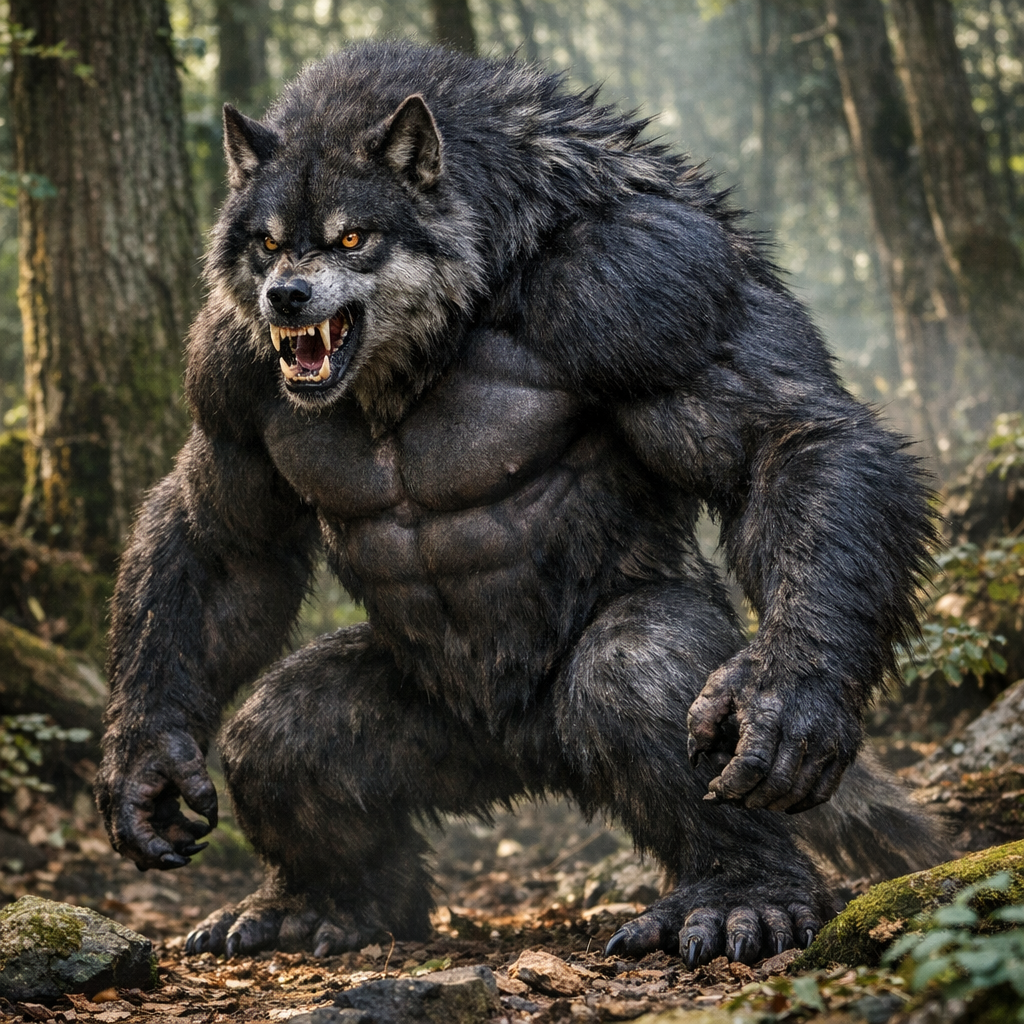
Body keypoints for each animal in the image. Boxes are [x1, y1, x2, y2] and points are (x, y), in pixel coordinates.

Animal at [95, 40, 946, 966]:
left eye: (353, 237)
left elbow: (785, 441)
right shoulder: (226, 365)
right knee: (276, 738)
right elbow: (226, 539)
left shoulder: (650, 281)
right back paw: (327, 906)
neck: (455, 309)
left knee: (635, 666)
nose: (285, 294)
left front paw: (791, 697)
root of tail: (532, 760)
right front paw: (147, 759)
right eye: (268, 242)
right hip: (443, 733)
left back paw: (738, 895)